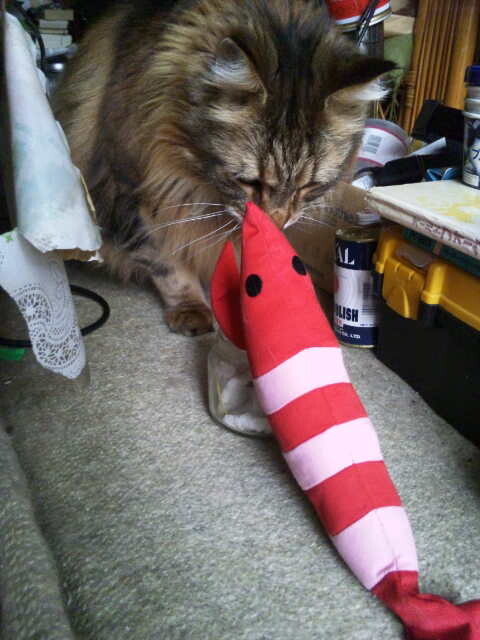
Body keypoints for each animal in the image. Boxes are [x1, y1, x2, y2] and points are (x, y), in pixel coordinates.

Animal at [53, 0, 393, 336]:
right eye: (249, 181)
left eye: (309, 186)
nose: (276, 222)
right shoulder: (127, 191)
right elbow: (168, 265)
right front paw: (192, 309)